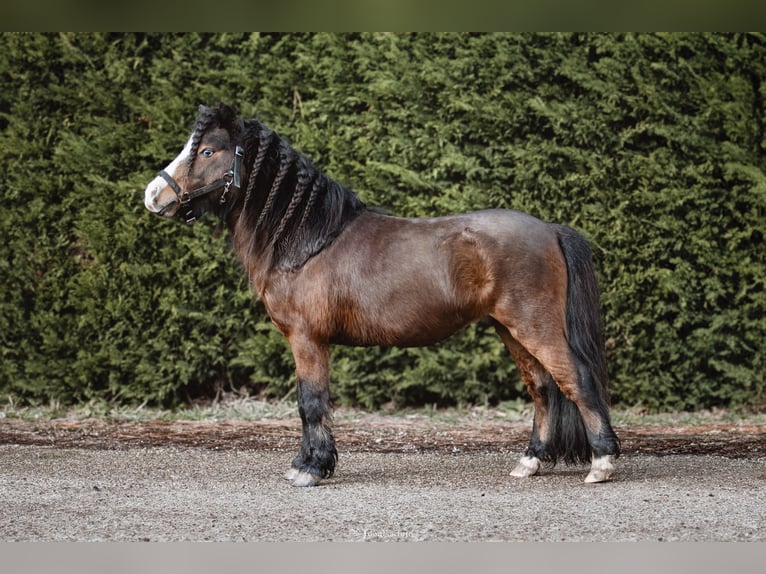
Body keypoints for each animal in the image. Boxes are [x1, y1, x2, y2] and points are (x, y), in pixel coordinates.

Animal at [144, 103, 620, 486]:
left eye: (208, 151)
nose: (153, 195)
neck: (307, 238)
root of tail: (550, 230)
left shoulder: (307, 340)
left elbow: (310, 403)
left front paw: (310, 469)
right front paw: (309, 463)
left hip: (535, 325)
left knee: (574, 379)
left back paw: (602, 463)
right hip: (510, 329)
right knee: (541, 388)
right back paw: (530, 462)